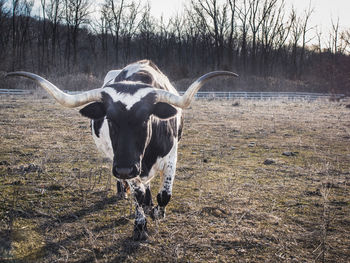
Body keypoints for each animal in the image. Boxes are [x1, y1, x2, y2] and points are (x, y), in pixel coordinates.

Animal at [7, 59, 238, 241]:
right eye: (109, 119)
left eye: (146, 118)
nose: (125, 170)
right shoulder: (123, 163)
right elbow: (139, 194)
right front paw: (140, 227)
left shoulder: (171, 155)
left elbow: (165, 194)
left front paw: (158, 213)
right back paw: (124, 193)